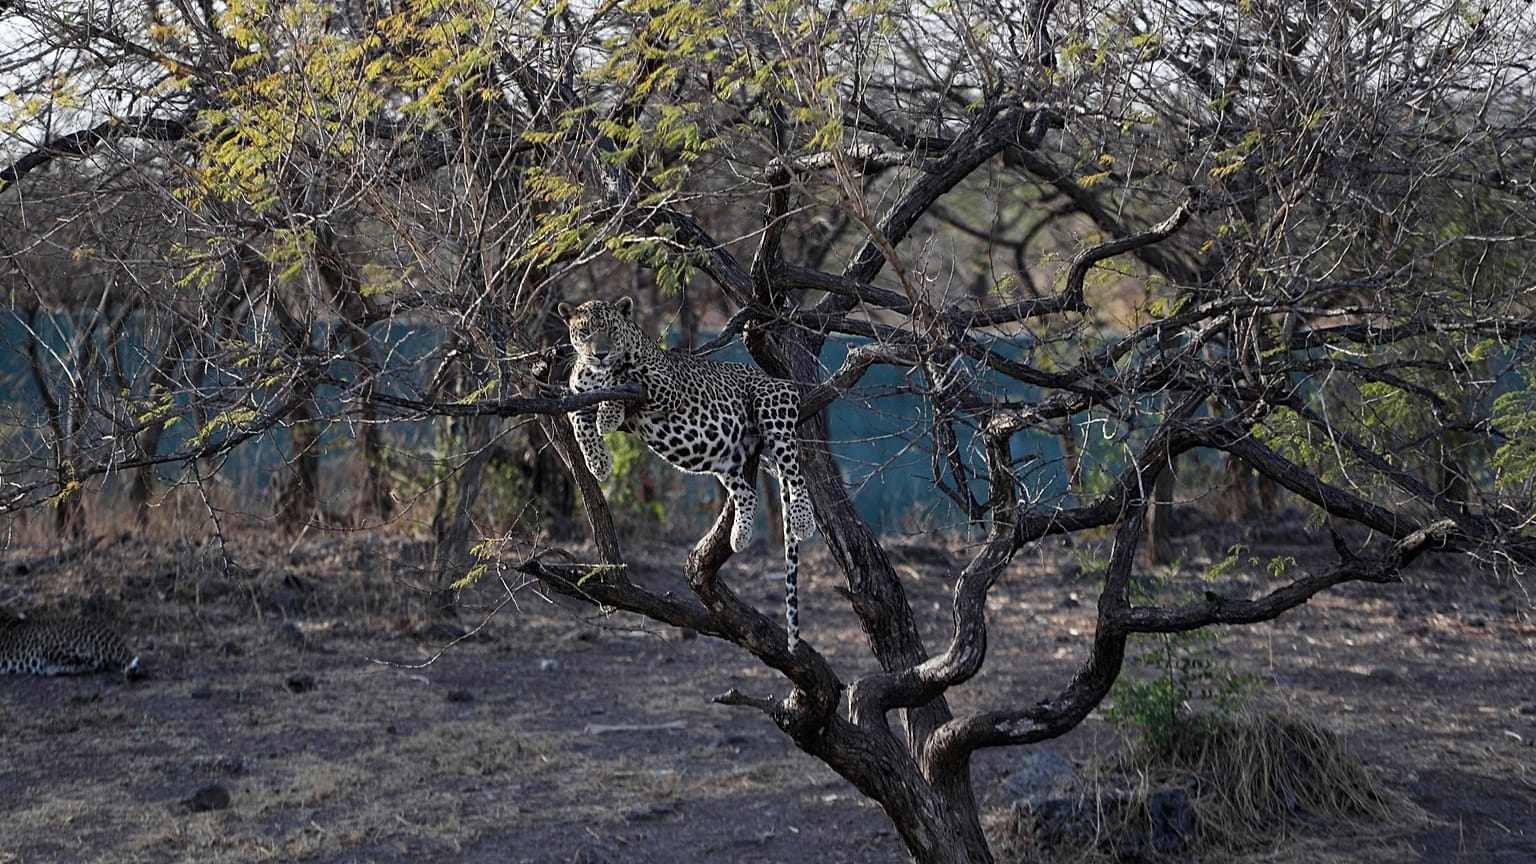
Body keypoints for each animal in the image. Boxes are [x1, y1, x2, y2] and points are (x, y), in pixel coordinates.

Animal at [558, 296, 816, 649]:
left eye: (610, 331)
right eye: (584, 332)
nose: (599, 353)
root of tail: (778, 380)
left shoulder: (665, 385)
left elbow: (622, 374)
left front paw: (609, 413)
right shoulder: (579, 399)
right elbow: (581, 425)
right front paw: (599, 462)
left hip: (772, 408)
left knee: (794, 472)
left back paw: (803, 521)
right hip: (726, 458)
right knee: (748, 492)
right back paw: (739, 536)